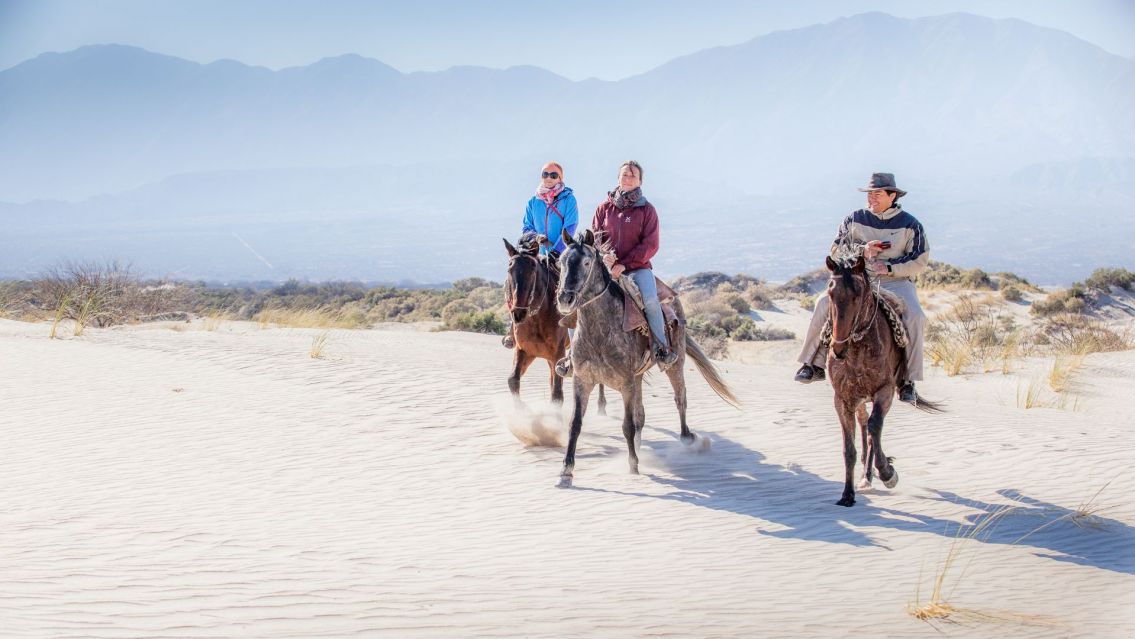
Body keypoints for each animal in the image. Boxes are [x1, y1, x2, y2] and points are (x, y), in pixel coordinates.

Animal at [553, 232, 740, 488]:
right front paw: (566, 470)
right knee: (641, 416)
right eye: (560, 262)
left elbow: (627, 425)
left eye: (586, 263)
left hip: (675, 364)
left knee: (680, 399)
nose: (565, 299)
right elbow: (575, 424)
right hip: (639, 377)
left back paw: (687, 437)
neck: (600, 331)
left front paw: (632, 466)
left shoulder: (626, 384)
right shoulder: (582, 381)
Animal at [826, 253, 939, 508]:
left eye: (857, 294)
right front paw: (847, 494)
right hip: (858, 400)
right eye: (830, 293)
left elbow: (875, 427)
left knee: (871, 429)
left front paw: (888, 472)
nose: (838, 348)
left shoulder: (884, 392)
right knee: (864, 424)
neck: (857, 349)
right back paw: (865, 477)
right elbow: (849, 448)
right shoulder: (843, 400)